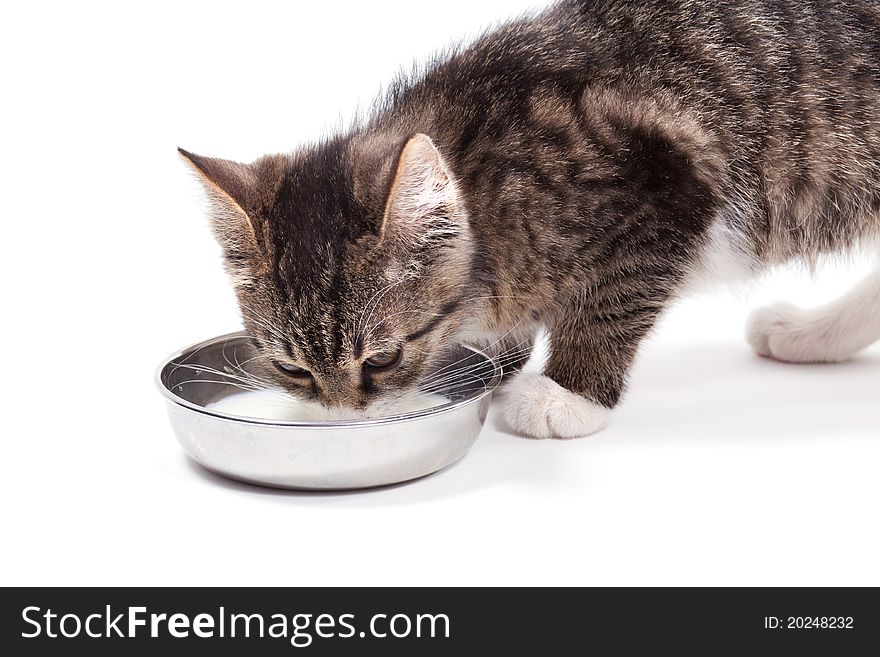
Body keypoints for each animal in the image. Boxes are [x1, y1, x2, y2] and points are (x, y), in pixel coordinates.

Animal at [180, 1, 880, 440]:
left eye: (381, 360)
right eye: (293, 370)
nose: (346, 418)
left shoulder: (665, 186)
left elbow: (611, 299)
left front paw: (567, 394)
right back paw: (812, 335)